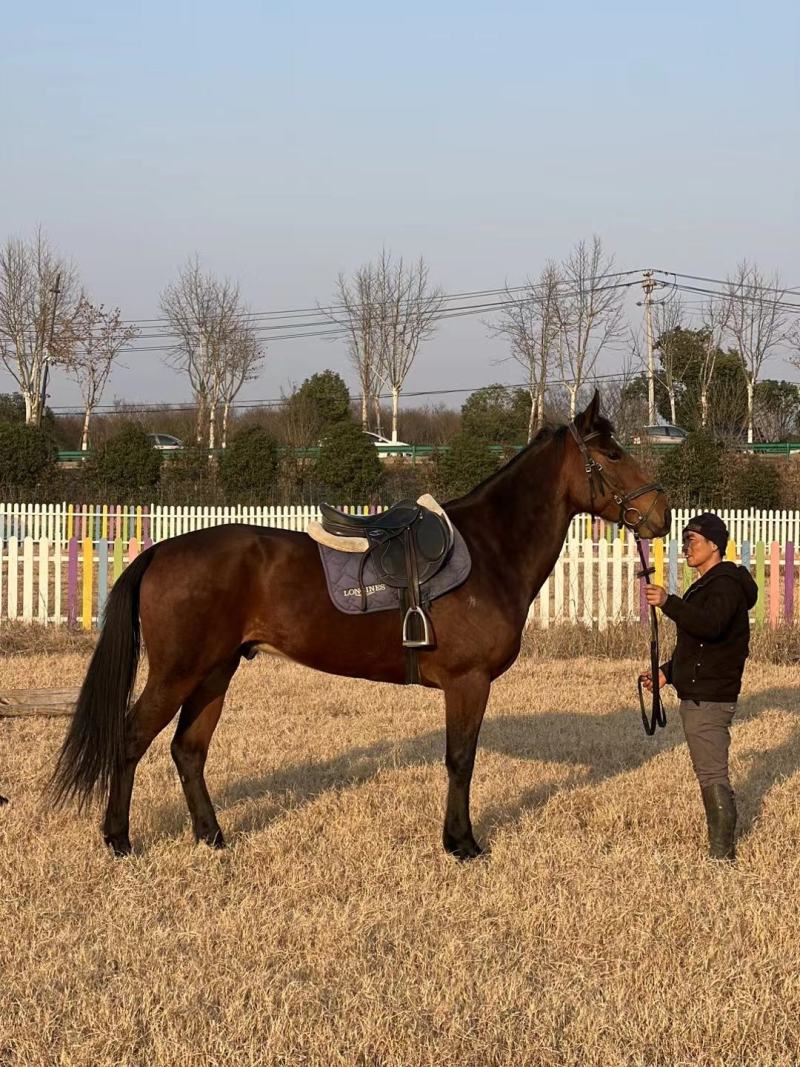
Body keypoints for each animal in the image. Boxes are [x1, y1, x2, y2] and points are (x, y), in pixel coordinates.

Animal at [51, 392, 670, 859]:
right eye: (613, 453)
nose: (662, 515)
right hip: (178, 672)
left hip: (215, 672)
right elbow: (460, 761)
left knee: (188, 751)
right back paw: (119, 840)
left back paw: (212, 836)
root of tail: (160, 551)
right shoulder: (468, 683)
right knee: (132, 741)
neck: (490, 550)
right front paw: (462, 843)